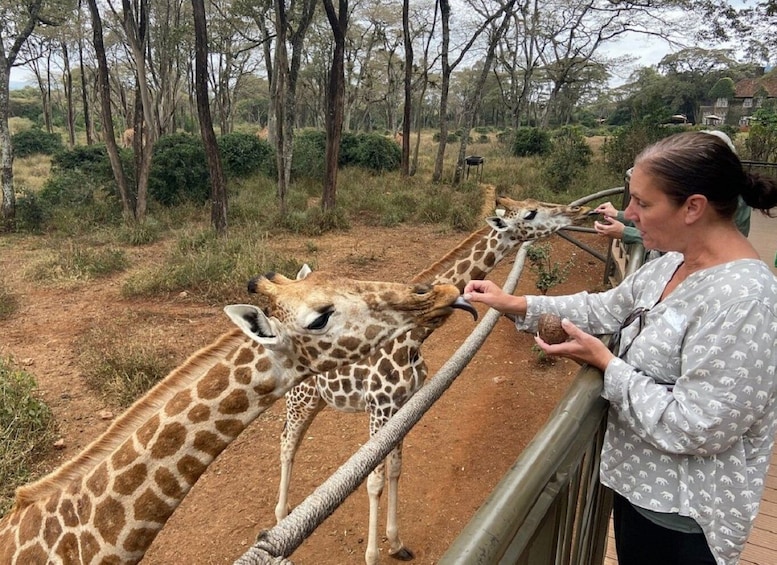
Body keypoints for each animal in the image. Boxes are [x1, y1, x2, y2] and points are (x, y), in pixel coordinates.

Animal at [274, 196, 596, 560]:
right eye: (531, 213)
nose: (578, 211)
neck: (413, 339)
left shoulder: (402, 406)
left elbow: (396, 469)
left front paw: (397, 543)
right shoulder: (379, 406)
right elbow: (374, 481)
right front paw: (372, 555)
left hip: (318, 399)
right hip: (301, 396)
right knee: (287, 442)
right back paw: (281, 517)